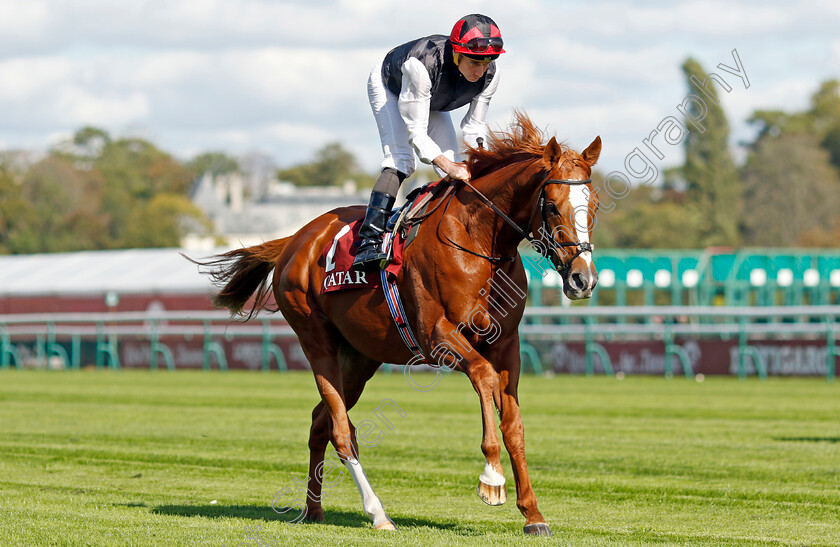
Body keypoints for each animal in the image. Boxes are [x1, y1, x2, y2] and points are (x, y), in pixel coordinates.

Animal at [200, 113, 600, 536]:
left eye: (591, 205)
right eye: (552, 207)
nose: (583, 279)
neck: (477, 240)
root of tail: (296, 239)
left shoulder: (506, 344)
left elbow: (514, 425)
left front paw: (533, 514)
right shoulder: (438, 337)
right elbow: (484, 377)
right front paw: (492, 478)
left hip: (359, 358)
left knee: (319, 422)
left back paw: (314, 509)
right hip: (315, 338)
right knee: (341, 430)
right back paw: (377, 513)